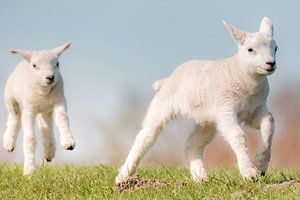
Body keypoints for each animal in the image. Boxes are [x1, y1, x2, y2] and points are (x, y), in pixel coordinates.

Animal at [2, 42, 75, 175]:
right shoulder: (29, 110)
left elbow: (62, 119)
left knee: (47, 128)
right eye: (35, 65)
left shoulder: (60, 101)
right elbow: (30, 139)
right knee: (15, 117)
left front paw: (68, 142)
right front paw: (29, 171)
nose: (50, 77)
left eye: (57, 64)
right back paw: (9, 144)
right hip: (10, 99)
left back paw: (49, 153)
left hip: (45, 111)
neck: (43, 92)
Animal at [116, 17, 278, 183]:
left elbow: (269, 123)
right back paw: (123, 176)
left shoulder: (256, 109)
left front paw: (260, 165)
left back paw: (200, 177)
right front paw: (249, 172)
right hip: (163, 104)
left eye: (276, 48)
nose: (270, 63)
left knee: (192, 144)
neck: (245, 79)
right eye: (250, 49)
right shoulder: (225, 108)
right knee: (146, 136)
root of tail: (166, 80)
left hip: (207, 121)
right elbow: (238, 136)